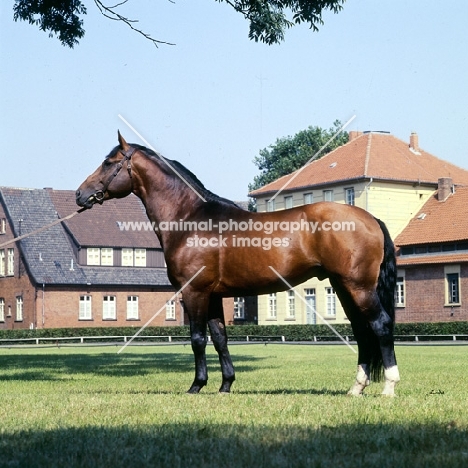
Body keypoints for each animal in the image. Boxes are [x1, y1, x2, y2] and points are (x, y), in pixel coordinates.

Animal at [75, 132, 400, 394]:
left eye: (108, 162)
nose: (80, 194)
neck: (189, 219)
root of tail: (370, 218)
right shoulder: (214, 296)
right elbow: (220, 338)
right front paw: (225, 384)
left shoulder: (194, 292)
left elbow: (197, 339)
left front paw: (196, 385)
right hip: (343, 287)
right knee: (362, 331)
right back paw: (356, 388)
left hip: (358, 287)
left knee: (380, 325)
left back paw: (389, 387)